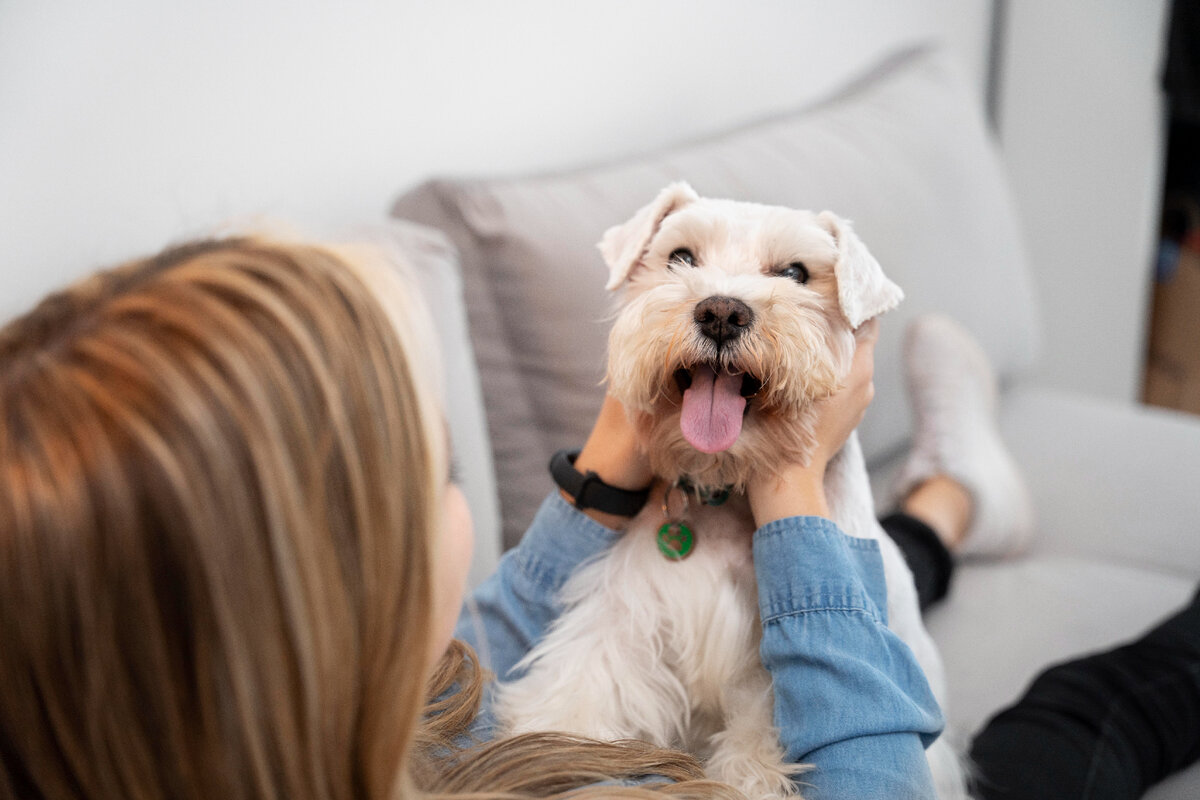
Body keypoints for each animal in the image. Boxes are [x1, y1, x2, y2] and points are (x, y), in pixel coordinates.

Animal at [492, 184, 969, 796]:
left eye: (795, 272)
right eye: (680, 257)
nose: (721, 311)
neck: (722, 483)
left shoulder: (761, 677)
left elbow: (758, 750)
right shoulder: (626, 611)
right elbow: (581, 687)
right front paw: (549, 750)